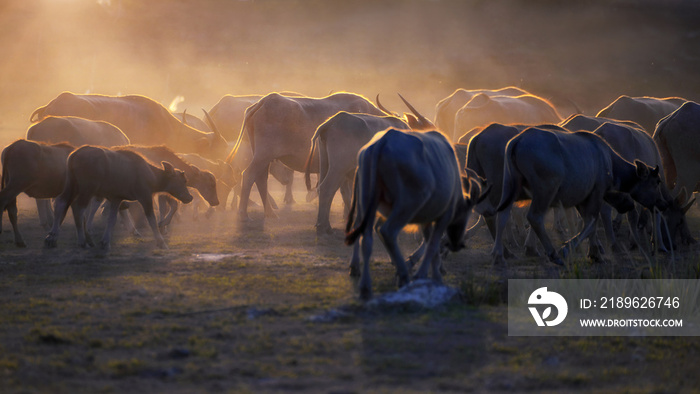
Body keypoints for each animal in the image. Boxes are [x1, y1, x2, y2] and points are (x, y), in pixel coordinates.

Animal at [44, 146, 193, 251]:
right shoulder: (145, 196)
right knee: (78, 209)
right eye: (183, 180)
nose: (189, 197)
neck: (150, 174)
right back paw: (82, 241)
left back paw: (52, 237)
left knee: (61, 202)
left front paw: (105, 242)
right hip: (87, 189)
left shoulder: (116, 198)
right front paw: (161, 243)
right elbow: (152, 219)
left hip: (71, 185)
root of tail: (74, 155)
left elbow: (112, 219)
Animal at [227, 92, 382, 222]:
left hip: (262, 156)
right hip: (263, 155)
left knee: (260, 179)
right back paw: (244, 214)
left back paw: (270, 213)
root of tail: (265, 100)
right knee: (249, 175)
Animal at [344, 129, 484, 298]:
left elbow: (431, 245)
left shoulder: (427, 220)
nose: (457, 244)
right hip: (407, 205)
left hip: (367, 203)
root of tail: (382, 143)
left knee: (367, 236)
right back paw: (403, 275)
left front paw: (435, 273)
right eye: (466, 214)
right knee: (387, 231)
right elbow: (432, 245)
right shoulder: (443, 217)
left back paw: (364, 282)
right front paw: (425, 274)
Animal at [492, 127, 668, 266]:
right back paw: (553, 254)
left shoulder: (581, 199)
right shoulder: (596, 193)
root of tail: (518, 140)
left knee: (502, 215)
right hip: (545, 191)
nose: (662, 203)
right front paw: (570, 249)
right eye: (657, 181)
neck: (609, 162)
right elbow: (591, 222)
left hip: (510, 189)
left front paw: (595, 253)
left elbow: (589, 223)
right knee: (534, 217)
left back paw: (498, 255)